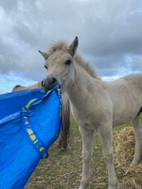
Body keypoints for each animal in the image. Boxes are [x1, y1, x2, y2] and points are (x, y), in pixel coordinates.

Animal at [39, 37, 142, 189]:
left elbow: (108, 154)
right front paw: (83, 184)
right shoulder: (85, 129)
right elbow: (86, 155)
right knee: (138, 133)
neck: (91, 96)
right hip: (134, 115)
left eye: (68, 61)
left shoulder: (105, 127)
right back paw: (134, 163)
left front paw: (113, 184)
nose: (48, 82)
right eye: (46, 66)